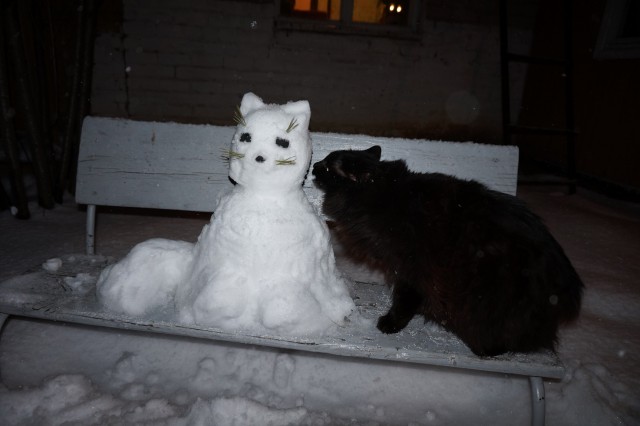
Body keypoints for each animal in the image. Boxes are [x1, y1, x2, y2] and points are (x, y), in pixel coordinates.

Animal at [312, 146, 584, 356]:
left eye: (327, 165)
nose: (314, 164)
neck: (381, 197)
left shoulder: (410, 267)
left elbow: (404, 300)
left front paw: (390, 325)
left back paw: (483, 348)